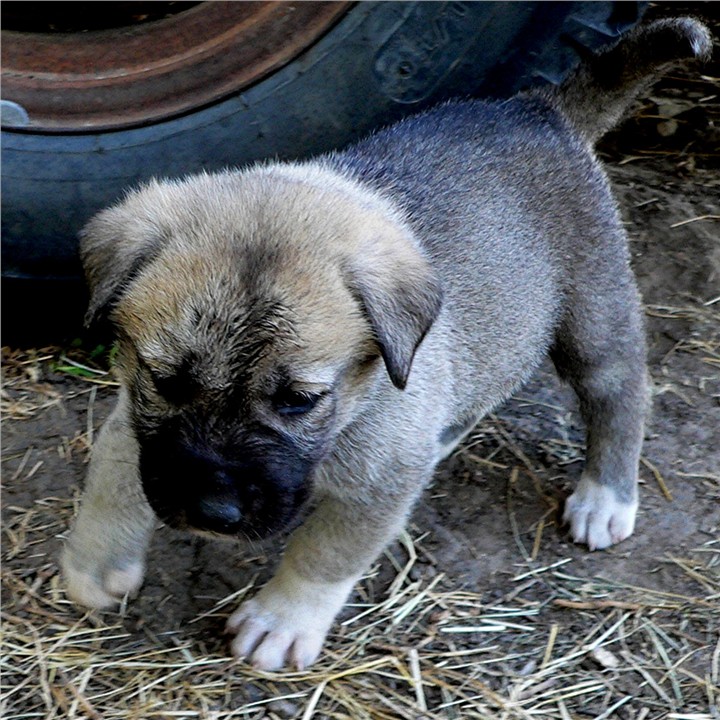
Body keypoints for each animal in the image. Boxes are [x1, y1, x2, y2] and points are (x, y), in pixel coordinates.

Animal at [60, 18, 708, 668]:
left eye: (298, 401)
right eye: (167, 382)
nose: (211, 514)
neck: (351, 411)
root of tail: (539, 108)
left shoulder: (376, 484)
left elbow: (326, 554)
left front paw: (282, 619)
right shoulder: (136, 421)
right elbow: (113, 478)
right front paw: (97, 558)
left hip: (594, 314)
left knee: (622, 392)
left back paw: (605, 498)